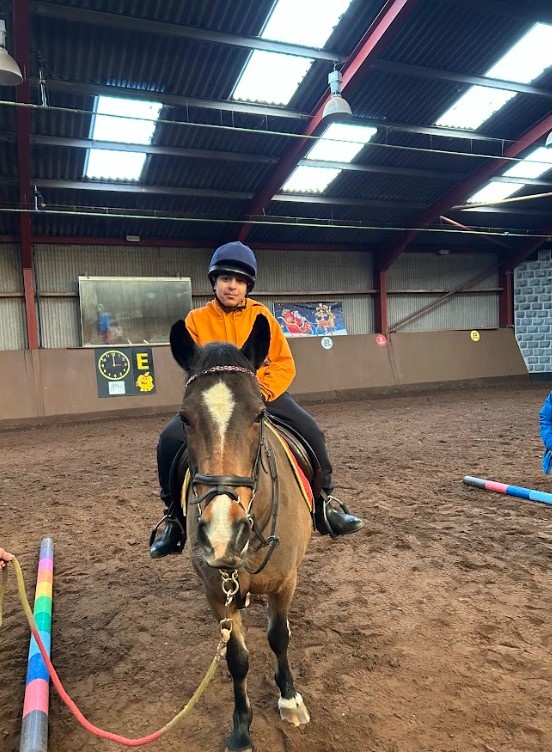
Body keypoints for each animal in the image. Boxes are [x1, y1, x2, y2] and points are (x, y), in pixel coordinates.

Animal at [169, 313, 313, 752]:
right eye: (185, 418)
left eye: (259, 414)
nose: (222, 535)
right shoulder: (217, 593)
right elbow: (237, 658)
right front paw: (241, 728)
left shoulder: (285, 582)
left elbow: (279, 638)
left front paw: (289, 699)